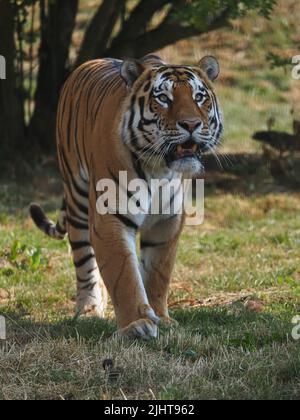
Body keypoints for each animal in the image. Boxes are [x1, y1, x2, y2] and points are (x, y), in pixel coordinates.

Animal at [30, 54, 223, 340]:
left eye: (199, 97)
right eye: (163, 98)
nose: (191, 124)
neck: (159, 168)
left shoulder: (168, 222)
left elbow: (158, 273)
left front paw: (162, 318)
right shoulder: (110, 217)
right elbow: (124, 275)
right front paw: (136, 325)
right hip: (77, 198)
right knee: (84, 261)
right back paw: (89, 309)